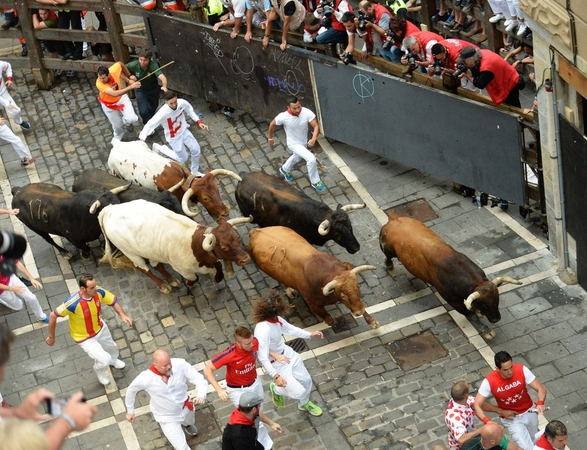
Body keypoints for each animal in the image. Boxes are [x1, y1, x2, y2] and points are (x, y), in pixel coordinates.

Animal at [97, 200, 253, 292]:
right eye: (224, 247)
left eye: (237, 238)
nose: (245, 259)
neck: (195, 244)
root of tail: (109, 210)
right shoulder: (182, 269)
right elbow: (194, 278)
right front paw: (189, 284)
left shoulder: (211, 259)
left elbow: (219, 266)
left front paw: (217, 278)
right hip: (130, 252)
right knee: (143, 268)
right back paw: (163, 285)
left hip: (151, 250)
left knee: (156, 264)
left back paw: (171, 280)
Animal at [247, 227, 376, 328]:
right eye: (343, 295)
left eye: (358, 288)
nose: (359, 312)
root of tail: (255, 230)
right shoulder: (313, 304)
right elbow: (329, 320)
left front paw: (372, 321)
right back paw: (290, 290)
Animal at [378, 211, 520, 334]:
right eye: (483, 304)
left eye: (497, 299)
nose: (496, 319)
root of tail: (394, 218)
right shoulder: (452, 299)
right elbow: (470, 314)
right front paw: (486, 331)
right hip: (388, 249)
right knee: (388, 256)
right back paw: (389, 265)